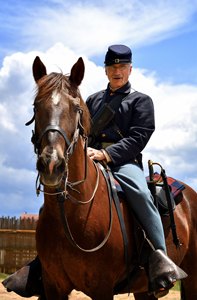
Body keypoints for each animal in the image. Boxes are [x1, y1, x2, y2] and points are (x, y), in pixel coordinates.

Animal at [30, 55, 197, 298]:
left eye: (76, 108)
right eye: (36, 106)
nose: (52, 165)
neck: (71, 214)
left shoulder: (102, 288)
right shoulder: (53, 287)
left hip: (193, 278)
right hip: (143, 289)